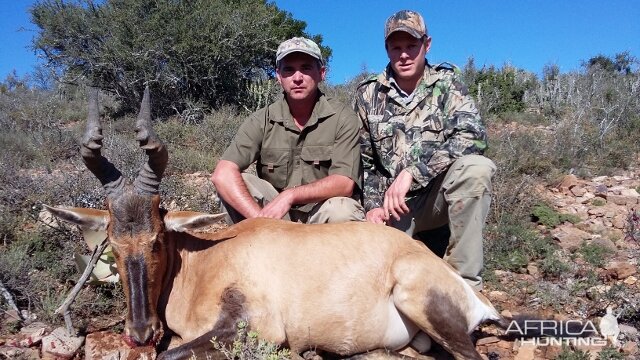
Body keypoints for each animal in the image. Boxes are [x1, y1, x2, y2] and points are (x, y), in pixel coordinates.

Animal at [46, 88, 516, 360]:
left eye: (158, 239)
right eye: (113, 242)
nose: (140, 332)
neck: (205, 259)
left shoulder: (257, 327)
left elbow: (169, 355)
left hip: (421, 300)